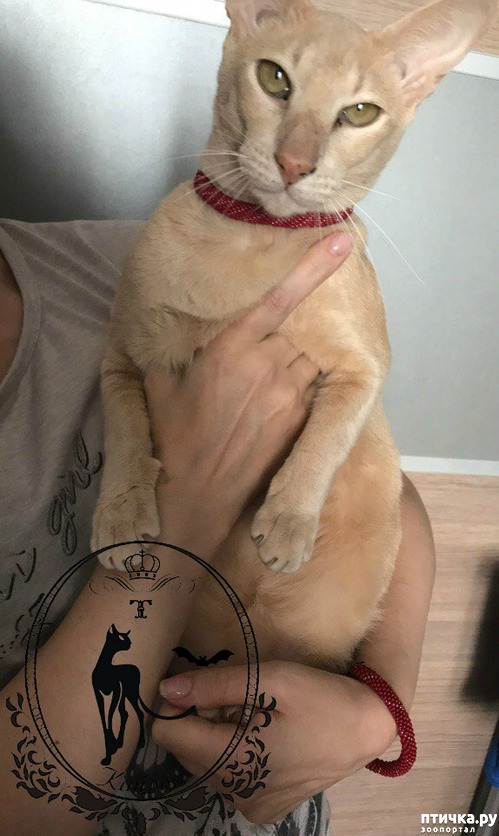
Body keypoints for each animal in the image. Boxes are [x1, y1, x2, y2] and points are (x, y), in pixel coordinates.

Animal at [92, 0, 496, 674]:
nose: (294, 164)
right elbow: (124, 424)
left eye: (359, 112)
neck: (253, 241)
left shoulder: (368, 364)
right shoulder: (121, 352)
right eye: (274, 78)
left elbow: (329, 435)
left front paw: (288, 517)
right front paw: (121, 511)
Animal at [92, 624, 195, 766]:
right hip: (126, 694)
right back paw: (120, 743)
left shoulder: (116, 692)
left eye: (127, 638)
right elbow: (104, 720)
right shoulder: (99, 694)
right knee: (124, 713)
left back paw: (139, 742)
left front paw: (110, 751)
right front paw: (109, 754)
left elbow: (110, 717)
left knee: (138, 713)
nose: (130, 643)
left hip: (130, 693)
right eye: (120, 637)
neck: (105, 667)